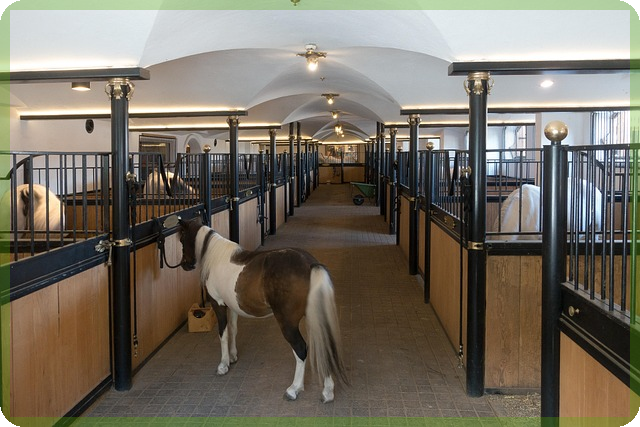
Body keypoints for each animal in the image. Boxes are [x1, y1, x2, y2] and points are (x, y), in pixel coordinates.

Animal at [177, 216, 348, 403]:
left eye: (182, 239)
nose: (184, 264)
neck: (215, 258)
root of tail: (310, 264)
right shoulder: (233, 306)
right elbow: (234, 330)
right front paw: (233, 356)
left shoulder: (219, 304)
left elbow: (223, 333)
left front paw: (223, 365)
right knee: (325, 346)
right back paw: (328, 391)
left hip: (287, 323)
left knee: (301, 349)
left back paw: (294, 389)